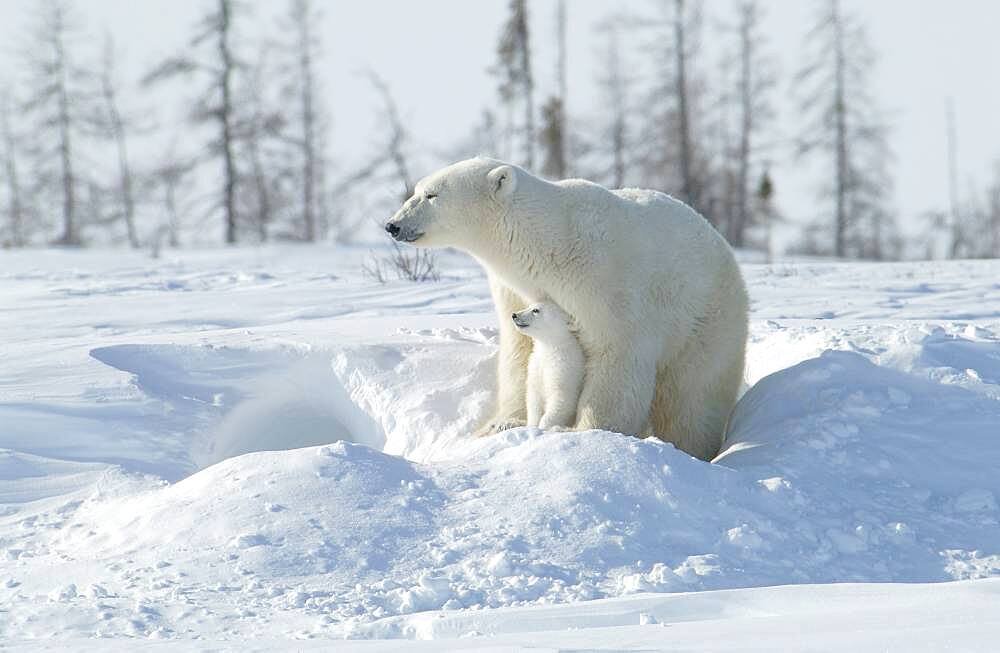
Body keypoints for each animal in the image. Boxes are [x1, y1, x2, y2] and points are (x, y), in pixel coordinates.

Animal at [512, 300, 584, 428]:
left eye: (536, 310)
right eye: (529, 306)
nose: (514, 315)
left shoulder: (564, 369)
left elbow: (561, 400)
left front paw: (543, 427)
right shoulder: (536, 365)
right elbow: (534, 399)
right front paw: (532, 425)